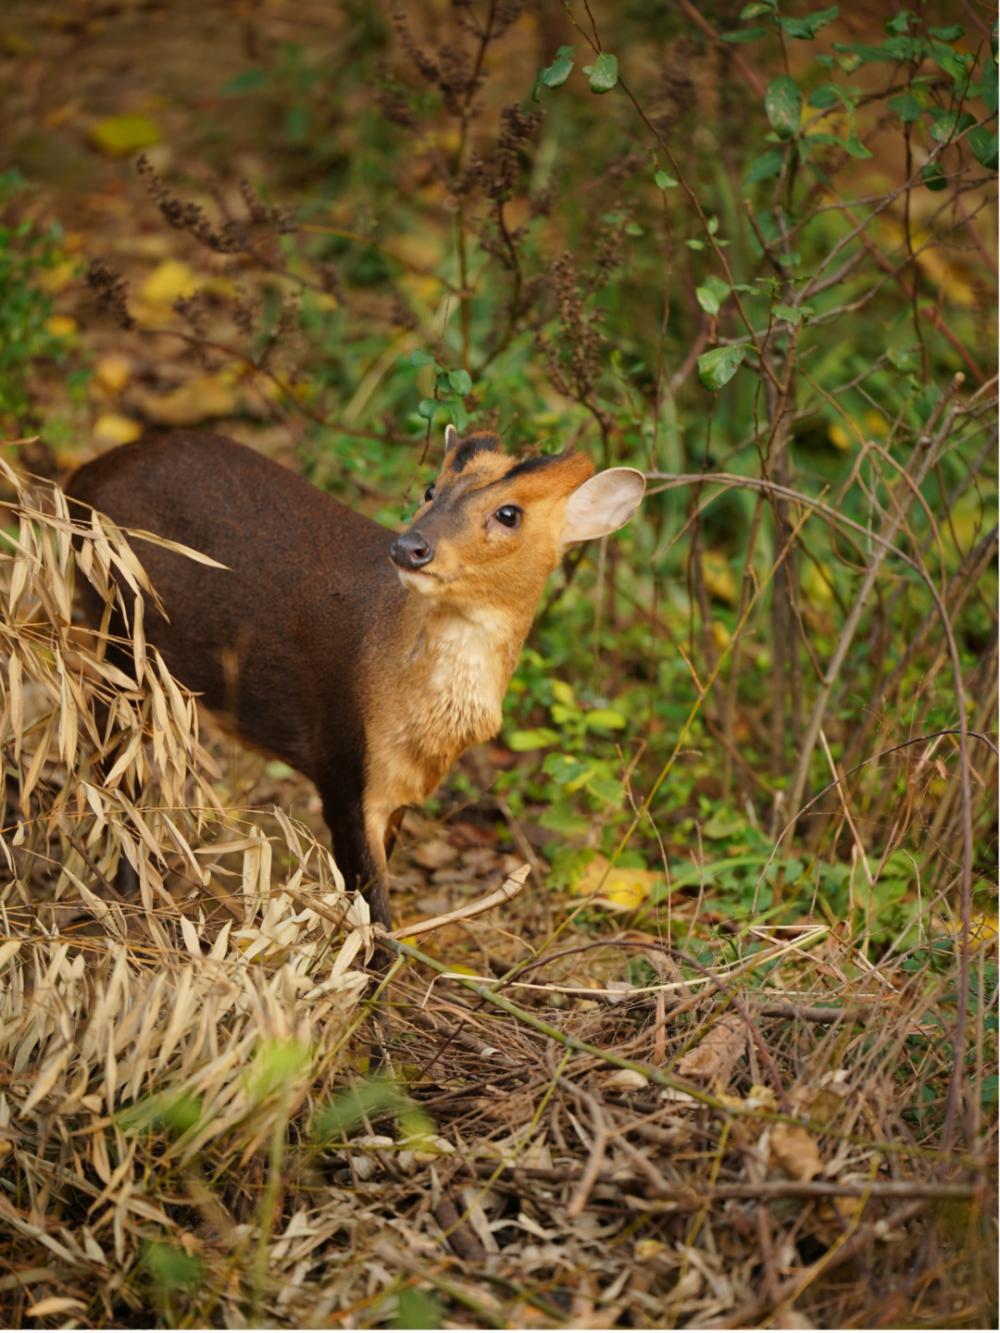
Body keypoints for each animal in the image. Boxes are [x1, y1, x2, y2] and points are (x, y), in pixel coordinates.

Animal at [70, 426, 650, 927]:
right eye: (431, 488)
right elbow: (376, 920)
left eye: (509, 513)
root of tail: (81, 476)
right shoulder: (341, 762)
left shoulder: (397, 789)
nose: (410, 547)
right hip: (118, 631)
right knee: (114, 771)